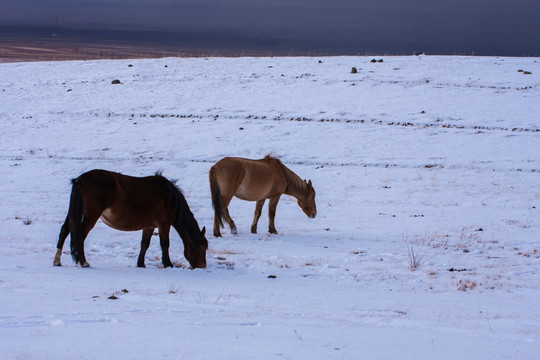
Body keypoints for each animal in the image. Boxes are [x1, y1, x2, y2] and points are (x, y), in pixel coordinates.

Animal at [53, 170, 208, 268]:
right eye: (203, 247)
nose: (202, 266)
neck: (169, 198)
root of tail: (80, 180)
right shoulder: (164, 224)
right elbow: (164, 244)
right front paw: (168, 264)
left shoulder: (149, 226)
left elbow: (144, 244)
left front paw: (141, 263)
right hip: (91, 215)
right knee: (80, 235)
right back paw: (83, 262)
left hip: (74, 213)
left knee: (65, 230)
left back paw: (57, 261)